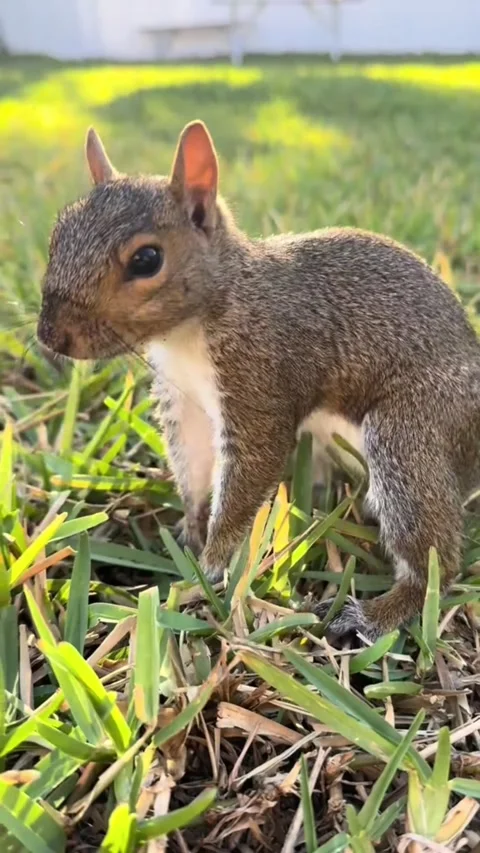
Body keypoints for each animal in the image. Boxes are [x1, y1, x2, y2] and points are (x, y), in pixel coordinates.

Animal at [37, 120, 480, 641]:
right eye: (57, 234)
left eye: (146, 259)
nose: (51, 335)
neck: (188, 332)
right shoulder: (184, 400)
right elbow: (193, 462)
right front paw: (192, 529)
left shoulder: (260, 381)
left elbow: (252, 471)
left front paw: (210, 566)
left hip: (411, 434)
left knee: (435, 560)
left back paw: (376, 613)